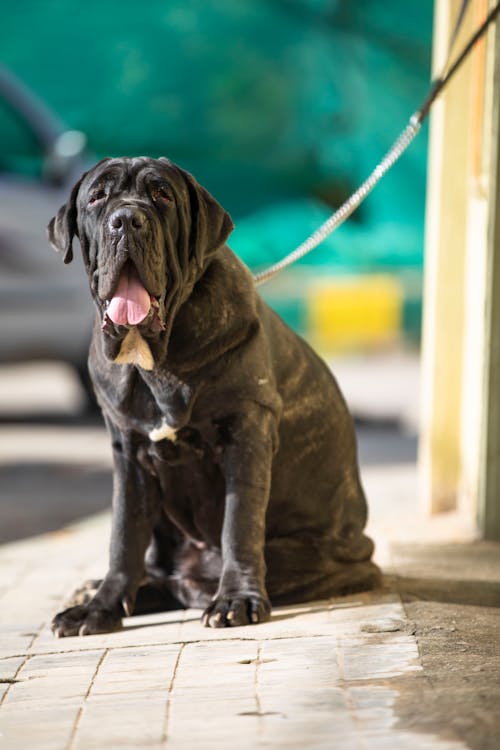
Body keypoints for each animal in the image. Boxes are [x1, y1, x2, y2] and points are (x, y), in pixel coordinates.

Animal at [47, 157, 378, 636]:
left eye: (162, 194)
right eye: (97, 197)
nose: (126, 219)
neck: (155, 357)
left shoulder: (246, 433)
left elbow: (239, 522)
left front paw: (237, 598)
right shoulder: (127, 450)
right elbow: (123, 536)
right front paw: (100, 608)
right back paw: (99, 590)